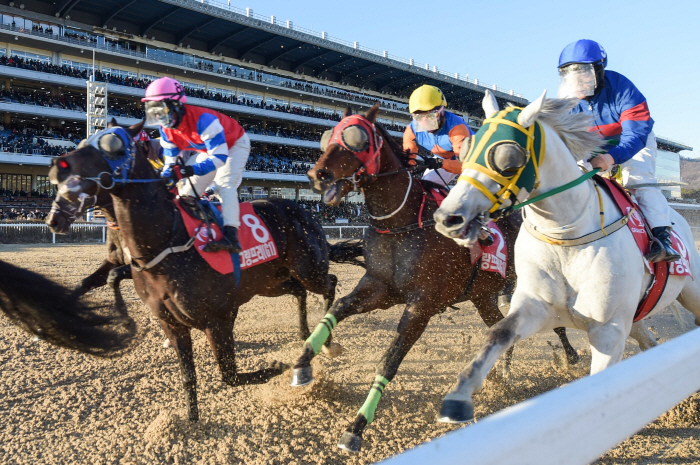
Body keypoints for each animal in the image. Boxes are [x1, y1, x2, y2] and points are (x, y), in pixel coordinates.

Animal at [47, 120, 346, 420]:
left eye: (111, 145)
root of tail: (305, 212)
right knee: (299, 291)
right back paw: (306, 333)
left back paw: (328, 341)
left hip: (308, 269)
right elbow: (188, 375)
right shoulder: (168, 315)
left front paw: (279, 366)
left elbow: (230, 375)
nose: (53, 218)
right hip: (270, 282)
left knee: (330, 282)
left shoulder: (217, 318)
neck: (168, 240)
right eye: (83, 142)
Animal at [288, 104, 576, 450]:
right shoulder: (379, 288)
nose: (318, 176)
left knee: (555, 320)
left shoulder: (421, 305)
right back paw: (502, 373)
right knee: (501, 327)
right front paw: (305, 362)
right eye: (328, 137)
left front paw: (356, 427)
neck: (401, 224)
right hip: (482, 296)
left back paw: (571, 358)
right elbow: (336, 309)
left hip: (528, 280)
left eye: (357, 138)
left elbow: (389, 361)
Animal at [432, 89, 700, 422]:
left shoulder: (608, 330)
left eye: (508, 159)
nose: (447, 218)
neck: (567, 238)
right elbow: (498, 333)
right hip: (635, 314)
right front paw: (458, 398)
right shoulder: (537, 308)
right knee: (649, 343)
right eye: (466, 151)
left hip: (690, 291)